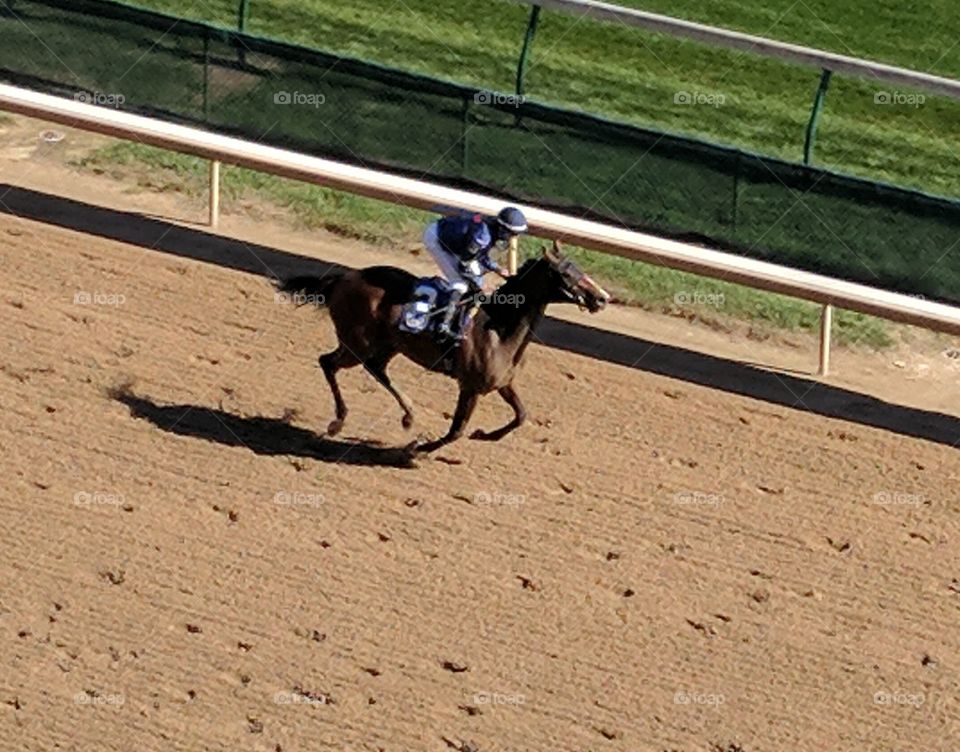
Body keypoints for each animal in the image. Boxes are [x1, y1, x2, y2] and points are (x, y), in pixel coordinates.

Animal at [277, 241, 609, 453]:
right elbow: (456, 431)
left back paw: (409, 414)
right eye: (565, 273)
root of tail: (344, 276)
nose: (603, 297)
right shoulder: (470, 386)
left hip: (388, 344)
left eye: (579, 267)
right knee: (328, 362)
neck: (500, 331)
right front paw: (418, 448)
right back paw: (339, 421)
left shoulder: (503, 383)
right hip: (358, 341)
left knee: (375, 368)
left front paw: (484, 435)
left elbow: (521, 416)